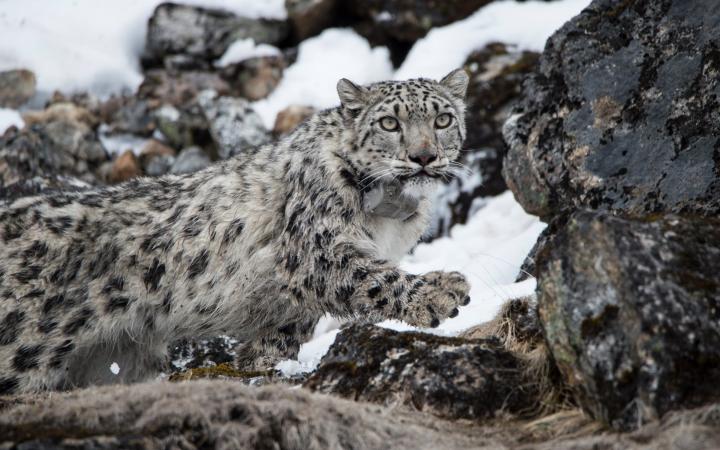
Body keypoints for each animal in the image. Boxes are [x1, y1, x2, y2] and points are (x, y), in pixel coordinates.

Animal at [0, 68, 472, 392]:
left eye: (443, 120)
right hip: (22, 348)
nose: (424, 156)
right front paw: (441, 292)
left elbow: (278, 340)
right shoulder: (316, 249)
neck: (392, 216)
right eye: (390, 123)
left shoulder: (292, 308)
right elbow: (371, 278)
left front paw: (257, 365)